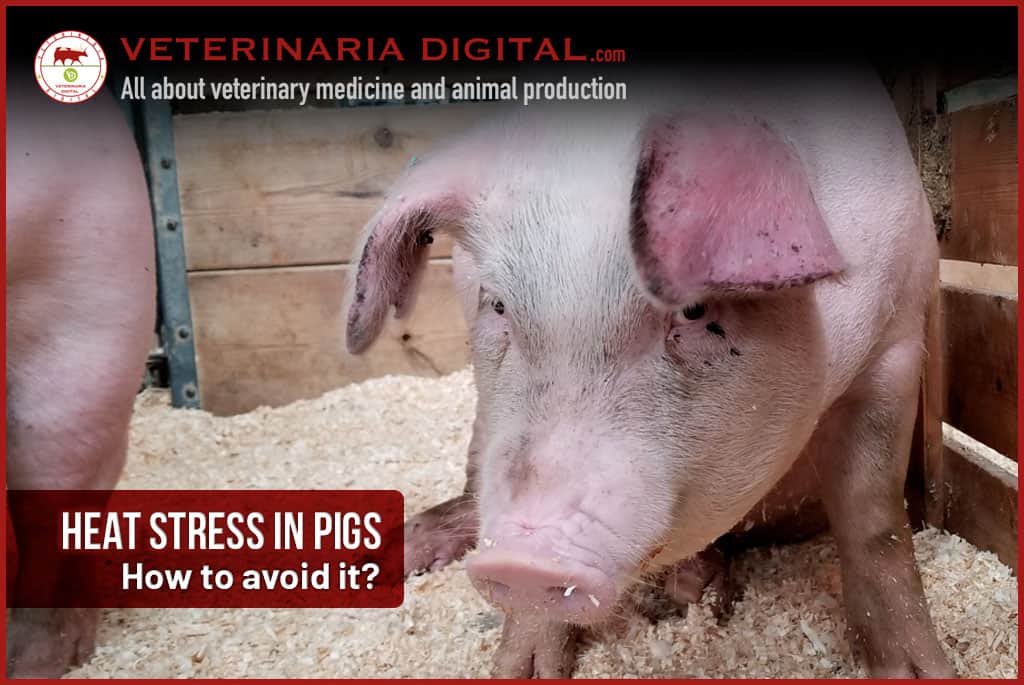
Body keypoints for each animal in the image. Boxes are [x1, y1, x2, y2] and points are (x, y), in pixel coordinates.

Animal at [345, 64, 954, 678]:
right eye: (496, 305)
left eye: (694, 310)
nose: (524, 562)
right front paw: (519, 673)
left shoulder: (899, 336)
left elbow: (873, 516)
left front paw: (924, 672)